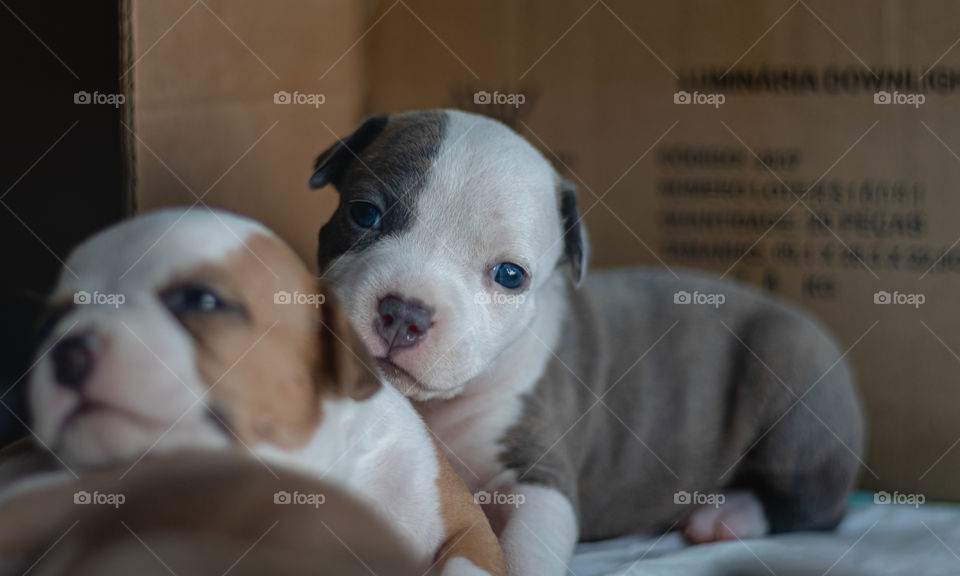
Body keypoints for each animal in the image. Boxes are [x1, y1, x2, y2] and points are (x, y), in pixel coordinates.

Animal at [312, 111, 868, 576]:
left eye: (510, 275)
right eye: (364, 214)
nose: (404, 313)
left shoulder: (541, 476)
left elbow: (528, 546)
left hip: (793, 369)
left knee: (819, 503)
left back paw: (732, 515)